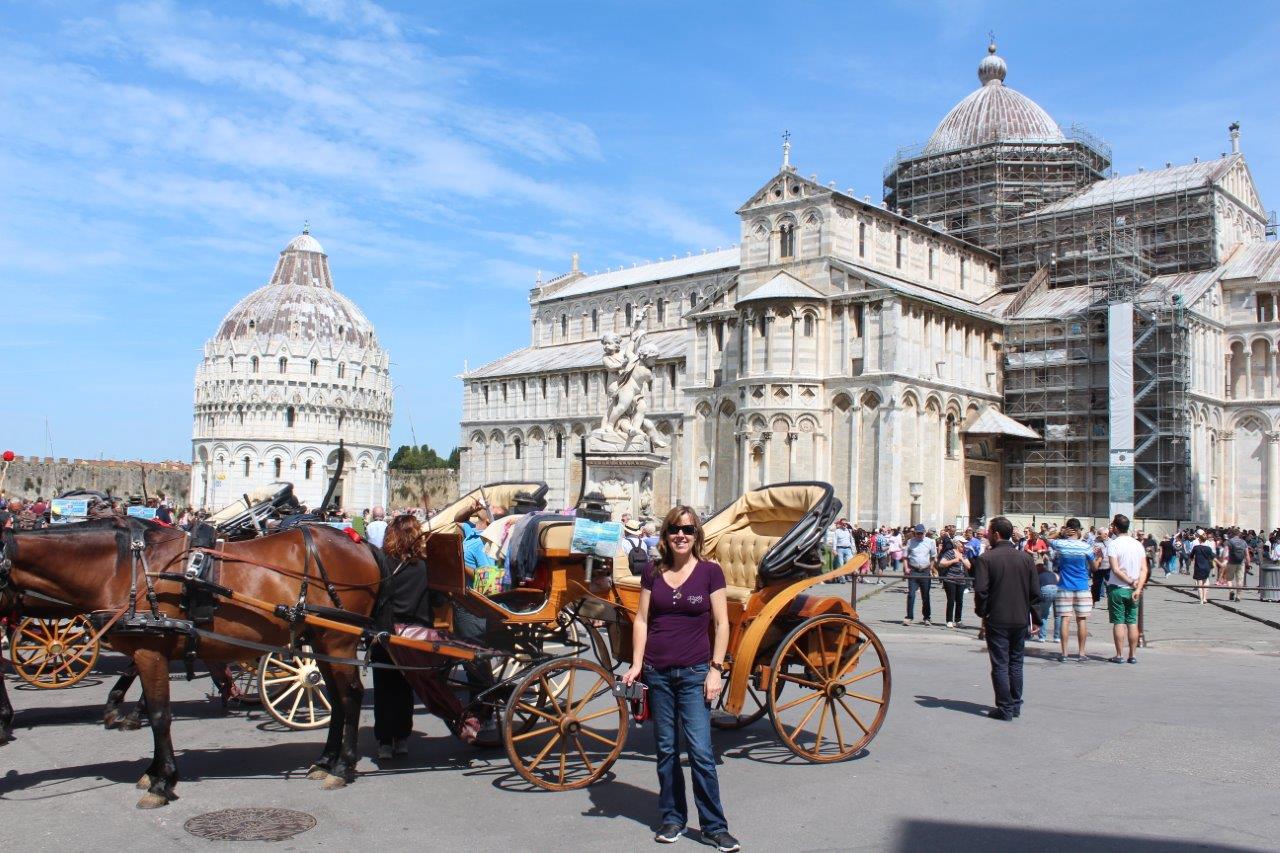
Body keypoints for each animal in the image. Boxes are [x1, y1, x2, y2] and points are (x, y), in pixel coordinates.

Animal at [0, 514, 378, 809]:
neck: (124, 569)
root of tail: (359, 544)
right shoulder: (151, 653)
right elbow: (156, 712)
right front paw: (154, 771)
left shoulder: (150, 652)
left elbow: (159, 716)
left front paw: (162, 781)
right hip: (320, 642)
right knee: (336, 699)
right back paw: (325, 761)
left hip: (339, 641)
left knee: (351, 696)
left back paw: (342, 767)